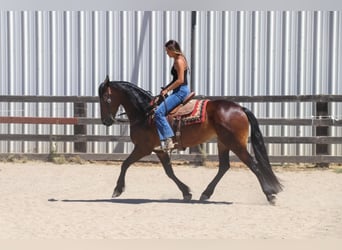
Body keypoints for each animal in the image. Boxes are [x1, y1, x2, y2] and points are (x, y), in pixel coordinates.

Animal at [97, 76, 282, 205]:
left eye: (106, 98)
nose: (106, 121)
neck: (146, 113)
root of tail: (240, 108)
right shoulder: (159, 150)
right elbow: (169, 172)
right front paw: (186, 192)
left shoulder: (143, 148)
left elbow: (125, 164)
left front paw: (117, 189)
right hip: (223, 143)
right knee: (224, 167)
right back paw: (206, 193)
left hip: (236, 144)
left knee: (254, 165)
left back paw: (269, 195)